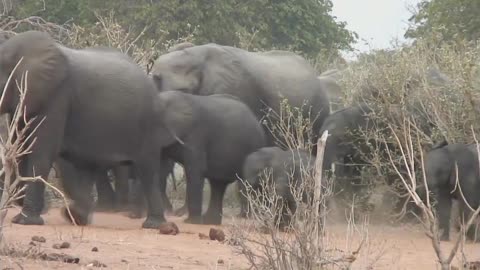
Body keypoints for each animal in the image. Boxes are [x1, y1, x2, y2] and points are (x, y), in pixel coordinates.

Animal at [0, 30, 167, 228]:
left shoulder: (57, 95)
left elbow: (41, 151)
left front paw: (25, 221)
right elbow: (21, 148)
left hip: (149, 124)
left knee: (148, 170)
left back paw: (153, 225)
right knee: (87, 165)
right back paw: (77, 217)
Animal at [152, 89, 266, 225]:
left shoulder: (196, 136)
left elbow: (195, 170)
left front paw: (191, 222)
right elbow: (161, 168)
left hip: (252, 148)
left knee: (242, 183)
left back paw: (246, 217)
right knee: (218, 184)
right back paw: (210, 221)